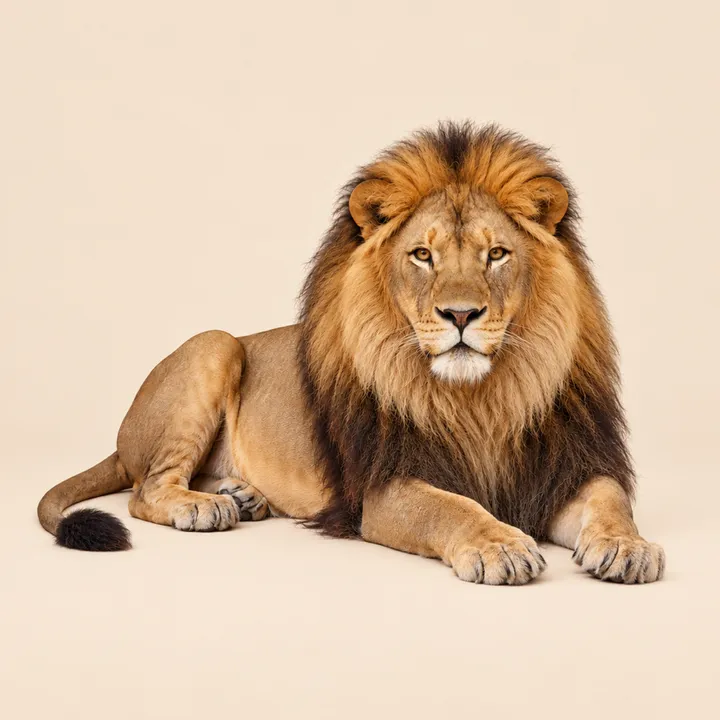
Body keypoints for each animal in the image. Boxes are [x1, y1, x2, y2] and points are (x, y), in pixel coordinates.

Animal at [37, 121, 665, 584]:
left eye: (496, 254)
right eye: (422, 256)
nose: (461, 315)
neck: (480, 402)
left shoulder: (557, 470)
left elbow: (611, 499)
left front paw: (628, 546)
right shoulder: (385, 488)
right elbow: (452, 507)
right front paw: (501, 546)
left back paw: (243, 495)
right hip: (213, 345)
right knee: (144, 490)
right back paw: (202, 506)